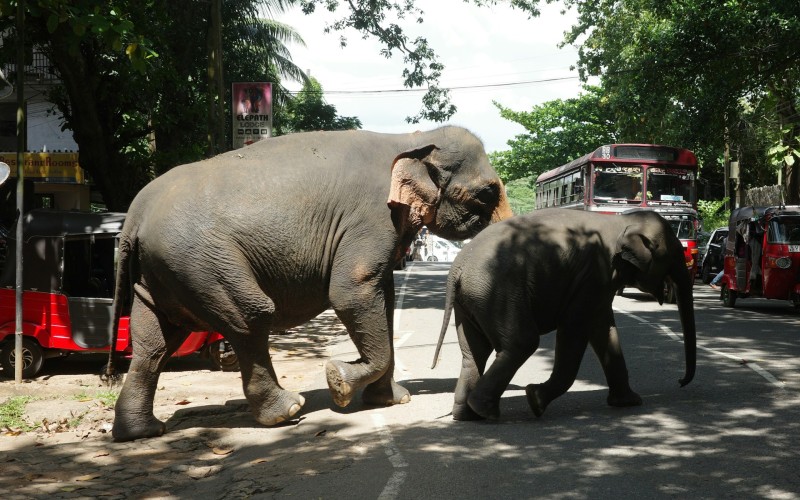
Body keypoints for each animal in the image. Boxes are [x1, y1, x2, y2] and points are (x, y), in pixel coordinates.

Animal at [106, 126, 512, 442]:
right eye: (487, 193)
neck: (410, 139)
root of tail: (135, 214)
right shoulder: (369, 217)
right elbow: (352, 292)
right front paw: (339, 381)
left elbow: (383, 299)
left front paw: (392, 399)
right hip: (200, 261)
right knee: (250, 316)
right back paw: (287, 411)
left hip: (162, 273)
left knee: (156, 342)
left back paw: (142, 432)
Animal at [431, 208, 696, 421]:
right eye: (674, 254)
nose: (680, 382)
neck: (624, 220)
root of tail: (457, 269)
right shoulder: (593, 274)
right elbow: (575, 326)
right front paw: (535, 399)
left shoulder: (599, 283)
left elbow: (603, 329)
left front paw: (630, 402)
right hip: (496, 292)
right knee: (522, 342)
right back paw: (487, 412)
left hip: (473, 300)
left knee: (473, 353)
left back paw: (467, 415)